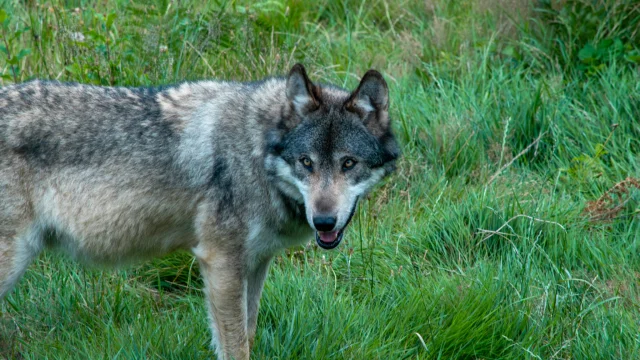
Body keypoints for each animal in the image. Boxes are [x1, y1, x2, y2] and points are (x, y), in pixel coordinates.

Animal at [0, 64, 398, 358]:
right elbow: (235, 347)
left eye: (348, 163)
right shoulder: (220, 261)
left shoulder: (256, 262)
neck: (255, 153)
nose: (324, 221)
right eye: (306, 162)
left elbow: (248, 334)